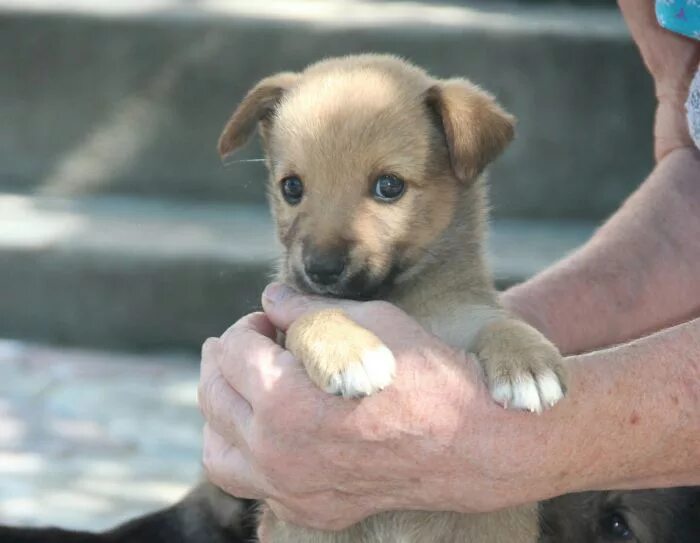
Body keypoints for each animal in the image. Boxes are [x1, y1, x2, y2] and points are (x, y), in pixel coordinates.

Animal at [219, 54, 568, 543]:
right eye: (291, 187)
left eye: (389, 186)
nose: (320, 269)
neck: (397, 297)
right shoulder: (284, 329)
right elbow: (314, 315)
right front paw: (351, 353)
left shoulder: (463, 317)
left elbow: (502, 322)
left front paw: (528, 366)